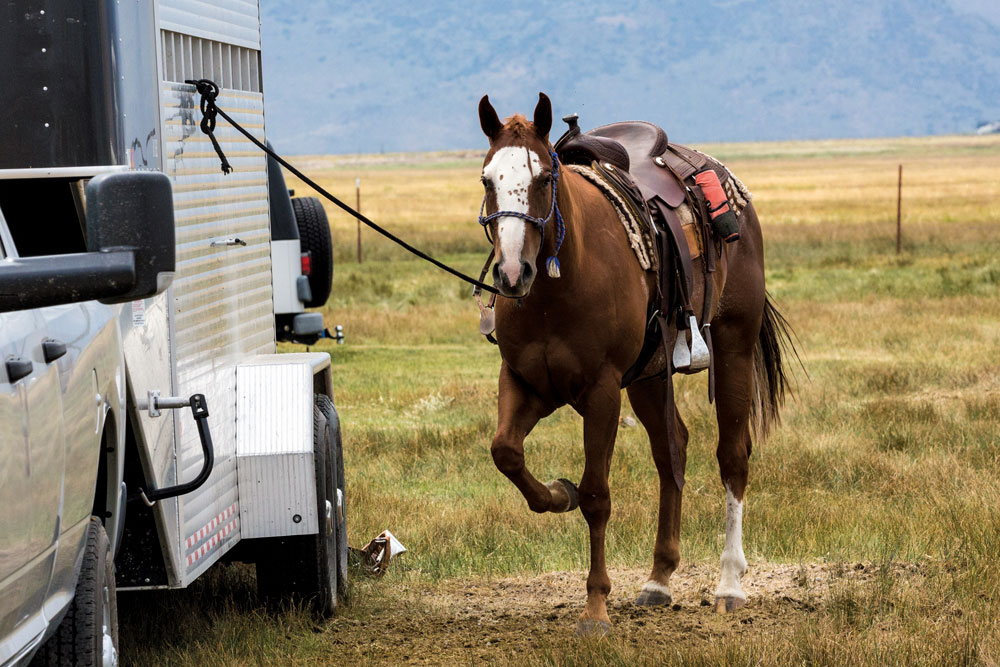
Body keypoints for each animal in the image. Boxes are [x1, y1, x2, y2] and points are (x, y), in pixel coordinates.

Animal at [480, 92, 792, 632]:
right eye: (487, 180)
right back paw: (659, 579)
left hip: (733, 345)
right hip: (650, 375)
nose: (513, 272)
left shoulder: (601, 391)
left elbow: (597, 495)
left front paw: (595, 608)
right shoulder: (526, 382)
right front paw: (557, 494)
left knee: (732, 456)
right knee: (673, 451)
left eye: (544, 178)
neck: (560, 285)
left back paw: (729, 584)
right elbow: (507, 454)